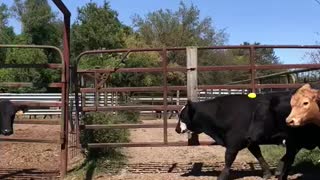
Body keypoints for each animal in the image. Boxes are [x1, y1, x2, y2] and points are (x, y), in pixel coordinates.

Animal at [176, 91, 320, 180]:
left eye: (182, 116)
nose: (177, 129)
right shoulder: (250, 141)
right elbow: (258, 155)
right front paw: (267, 173)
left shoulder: (234, 141)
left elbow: (229, 158)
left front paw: (222, 176)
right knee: (290, 154)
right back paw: (279, 169)